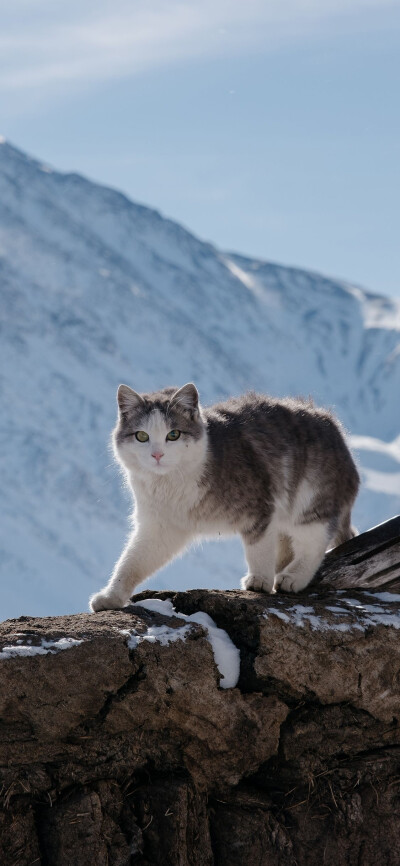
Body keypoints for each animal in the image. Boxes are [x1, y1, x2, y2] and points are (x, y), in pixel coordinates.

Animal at [90, 382, 360, 612]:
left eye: (173, 434)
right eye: (142, 436)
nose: (157, 455)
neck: (171, 484)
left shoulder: (259, 507)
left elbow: (258, 548)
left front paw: (260, 580)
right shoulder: (161, 527)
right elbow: (132, 562)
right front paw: (111, 597)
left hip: (311, 499)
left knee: (314, 542)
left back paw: (292, 577)